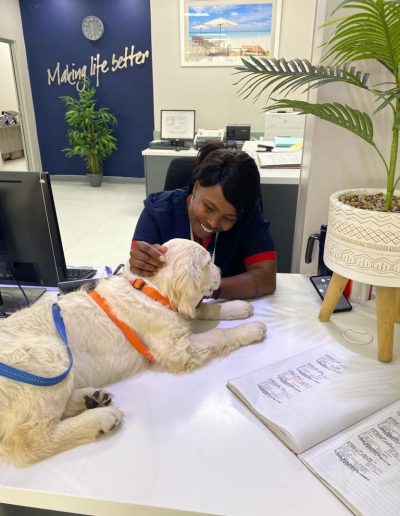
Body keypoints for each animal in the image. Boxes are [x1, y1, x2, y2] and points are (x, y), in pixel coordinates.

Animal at [0, 238, 266, 464]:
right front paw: (252, 328)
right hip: (51, 355)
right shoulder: (178, 349)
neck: (151, 291)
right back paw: (101, 418)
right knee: (30, 442)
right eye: (208, 262)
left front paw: (237, 307)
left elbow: (204, 309)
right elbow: (219, 334)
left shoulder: (180, 313)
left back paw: (91, 399)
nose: (221, 273)